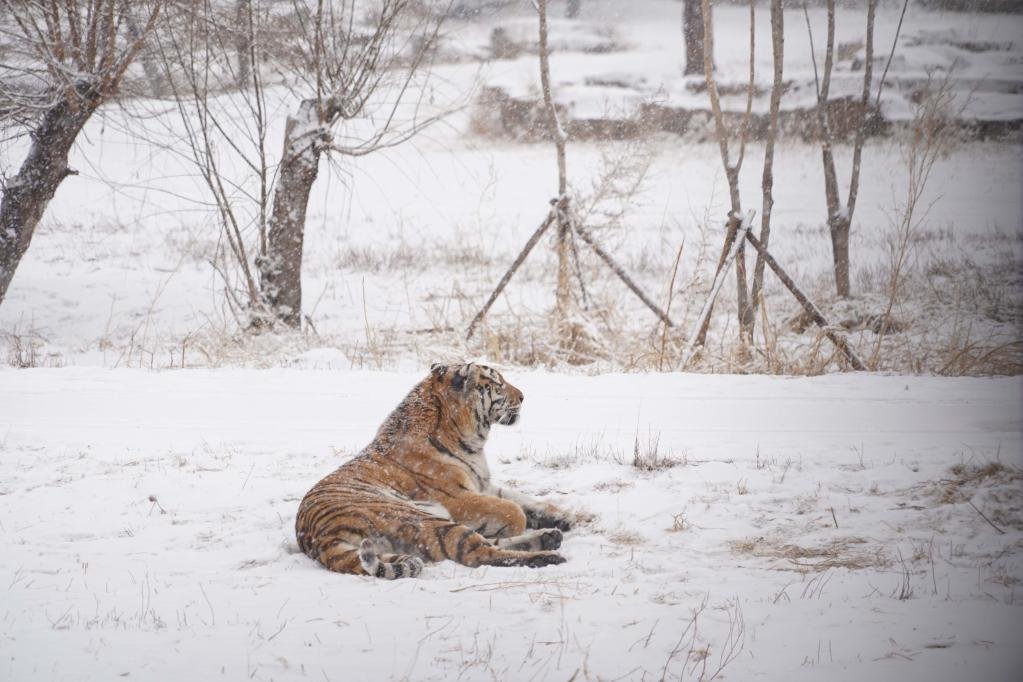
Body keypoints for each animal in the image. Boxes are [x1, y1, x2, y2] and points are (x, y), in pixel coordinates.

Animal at [294, 359, 576, 580]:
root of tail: (319, 538)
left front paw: (563, 517)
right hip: (422, 518)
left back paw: (550, 536)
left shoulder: (482, 483)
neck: (470, 439)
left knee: (486, 545)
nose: (522, 397)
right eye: (497, 384)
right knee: (477, 552)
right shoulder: (459, 497)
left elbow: (523, 499)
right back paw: (549, 556)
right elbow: (515, 511)